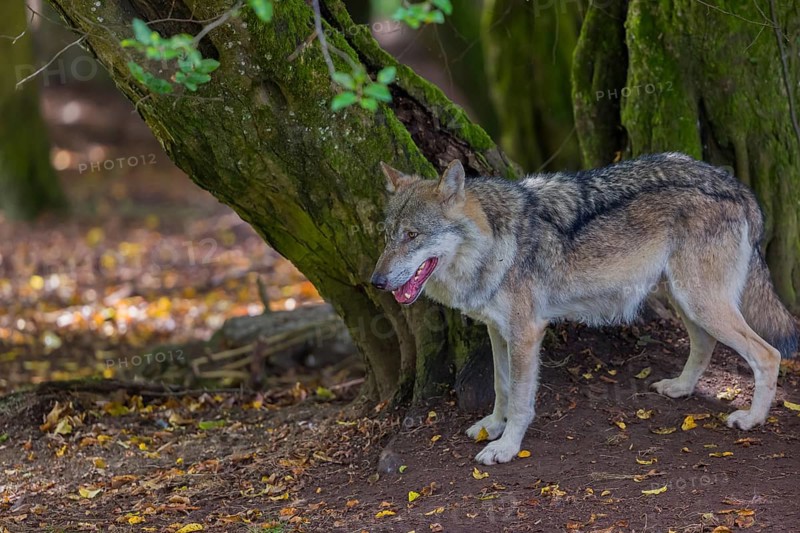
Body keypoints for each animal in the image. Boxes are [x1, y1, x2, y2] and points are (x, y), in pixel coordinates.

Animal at [371, 153, 798, 465]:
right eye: (388, 236)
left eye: (412, 235)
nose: (376, 281)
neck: (494, 241)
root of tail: (735, 186)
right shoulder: (498, 331)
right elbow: (501, 386)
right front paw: (493, 426)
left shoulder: (526, 333)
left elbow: (521, 398)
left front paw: (506, 447)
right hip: (685, 300)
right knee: (705, 344)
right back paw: (680, 388)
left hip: (701, 302)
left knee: (768, 354)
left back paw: (752, 419)